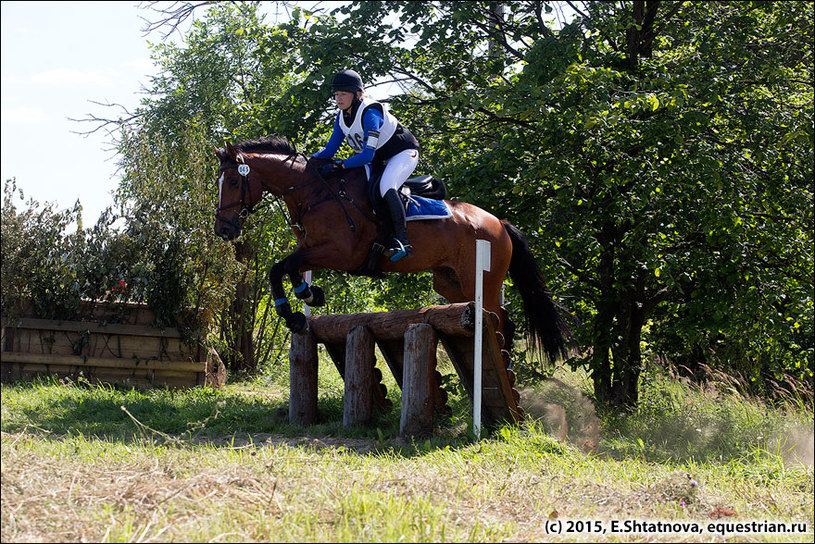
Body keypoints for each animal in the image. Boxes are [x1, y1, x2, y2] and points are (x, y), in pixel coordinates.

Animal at [212, 136, 568, 366]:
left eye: (233, 182)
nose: (223, 230)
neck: (314, 192)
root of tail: (499, 222)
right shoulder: (312, 248)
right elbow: (287, 266)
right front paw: (308, 296)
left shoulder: (340, 252)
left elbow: (282, 266)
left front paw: (294, 311)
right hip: (450, 283)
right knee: (497, 318)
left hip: (481, 281)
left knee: (499, 321)